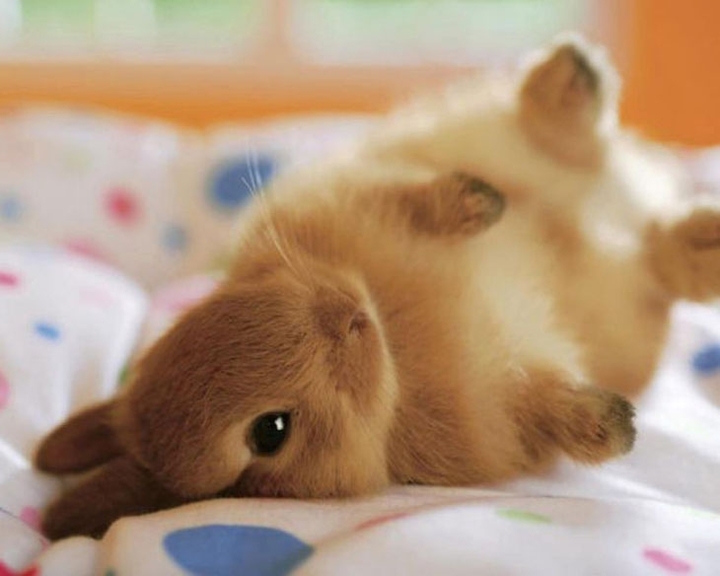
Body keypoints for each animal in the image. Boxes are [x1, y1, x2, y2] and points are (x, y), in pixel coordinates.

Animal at [35, 34, 718, 540]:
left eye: (198, 316)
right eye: (270, 432)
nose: (345, 315)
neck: (396, 337)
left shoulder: (361, 198)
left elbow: (416, 200)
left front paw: (479, 203)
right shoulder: (505, 401)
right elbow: (550, 405)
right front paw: (613, 426)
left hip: (500, 139)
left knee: (562, 143)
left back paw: (571, 77)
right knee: (660, 259)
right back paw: (701, 243)